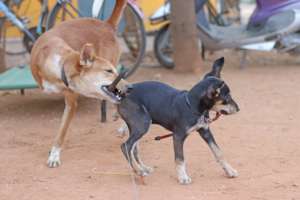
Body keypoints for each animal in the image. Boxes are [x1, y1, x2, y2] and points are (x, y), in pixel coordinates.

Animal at [29, 0, 129, 168]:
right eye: (108, 71)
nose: (129, 88)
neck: (59, 62)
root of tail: (106, 24)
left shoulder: (71, 102)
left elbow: (62, 132)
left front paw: (54, 155)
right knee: (113, 99)